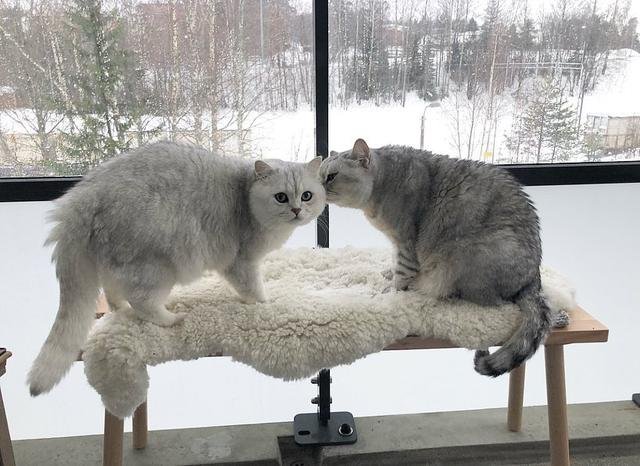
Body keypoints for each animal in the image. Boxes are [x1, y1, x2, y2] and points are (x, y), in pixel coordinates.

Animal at [28, 141, 326, 396]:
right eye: (281, 197)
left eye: (307, 196)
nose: (297, 210)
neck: (245, 197)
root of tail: (83, 194)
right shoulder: (241, 263)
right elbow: (255, 290)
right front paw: (266, 304)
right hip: (156, 268)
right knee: (142, 302)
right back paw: (172, 319)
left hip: (117, 263)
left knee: (114, 294)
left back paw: (119, 311)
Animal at [321, 138, 550, 377]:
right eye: (319, 174)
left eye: (331, 176)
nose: (315, 189)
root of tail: (534, 279)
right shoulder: (396, 244)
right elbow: (394, 265)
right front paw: (387, 275)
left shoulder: (406, 243)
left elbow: (401, 274)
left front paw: (389, 292)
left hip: (472, 255)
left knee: (490, 301)